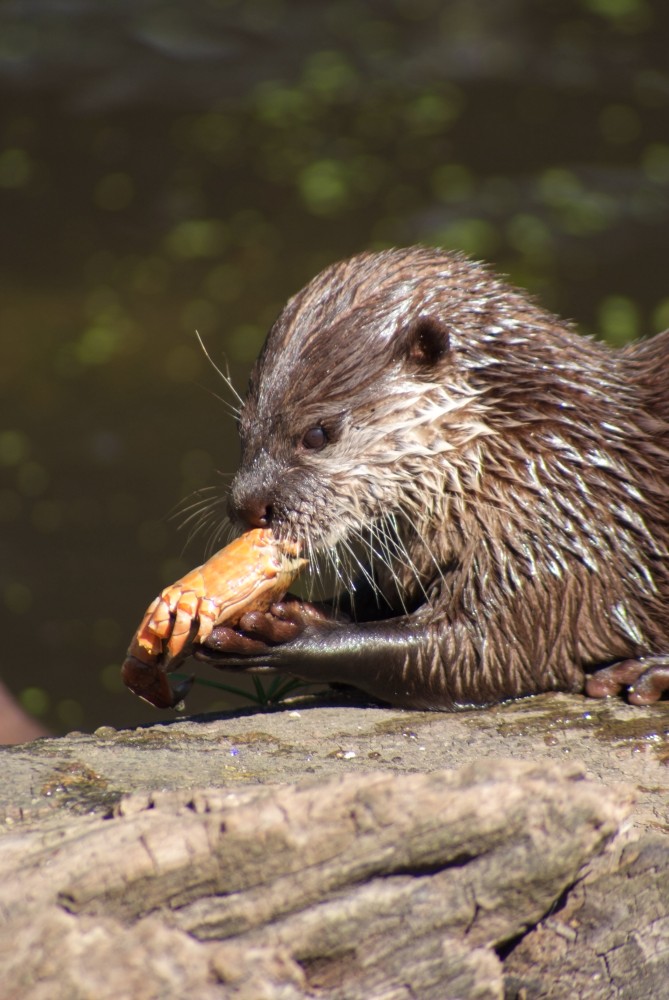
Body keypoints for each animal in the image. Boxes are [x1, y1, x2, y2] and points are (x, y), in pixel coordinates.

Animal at [193, 246, 668, 708]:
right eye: (242, 428)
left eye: (316, 434)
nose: (246, 505)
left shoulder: (556, 539)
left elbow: (487, 648)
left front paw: (291, 632)